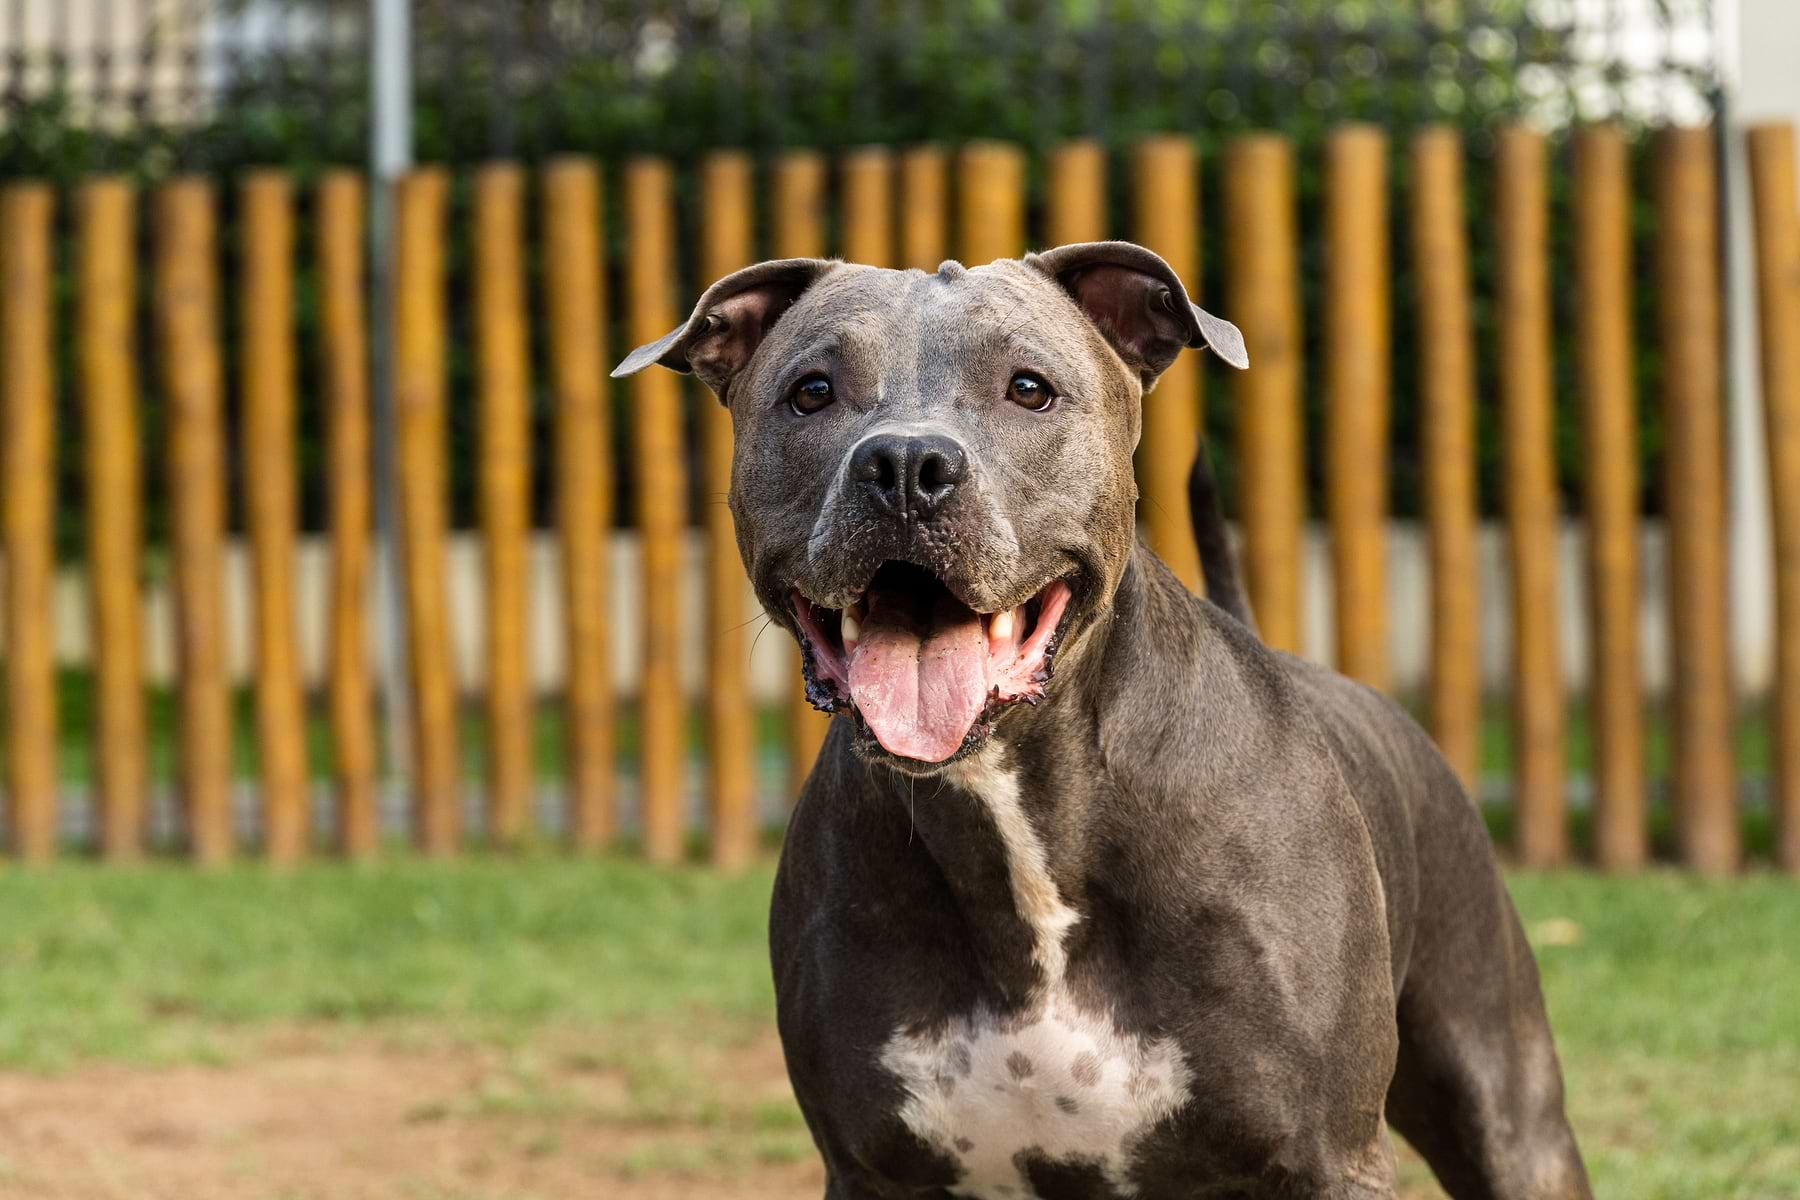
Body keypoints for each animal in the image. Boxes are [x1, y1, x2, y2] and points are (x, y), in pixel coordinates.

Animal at [615, 244, 1591, 1200]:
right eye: (812, 391)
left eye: (1029, 388)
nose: (903, 467)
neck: (1012, 824)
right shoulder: (872, 1170)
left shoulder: (1331, 1161)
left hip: (1510, 1109)